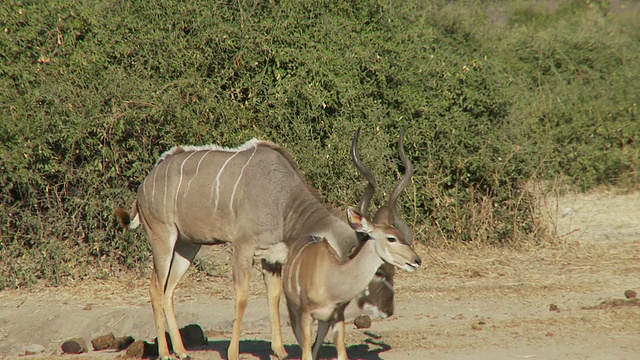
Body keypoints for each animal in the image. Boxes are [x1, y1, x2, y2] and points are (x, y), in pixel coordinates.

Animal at [280, 207, 420, 360]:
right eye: (391, 238)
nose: (416, 260)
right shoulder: (306, 316)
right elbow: (306, 353)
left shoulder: (337, 317)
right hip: (293, 309)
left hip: (323, 321)